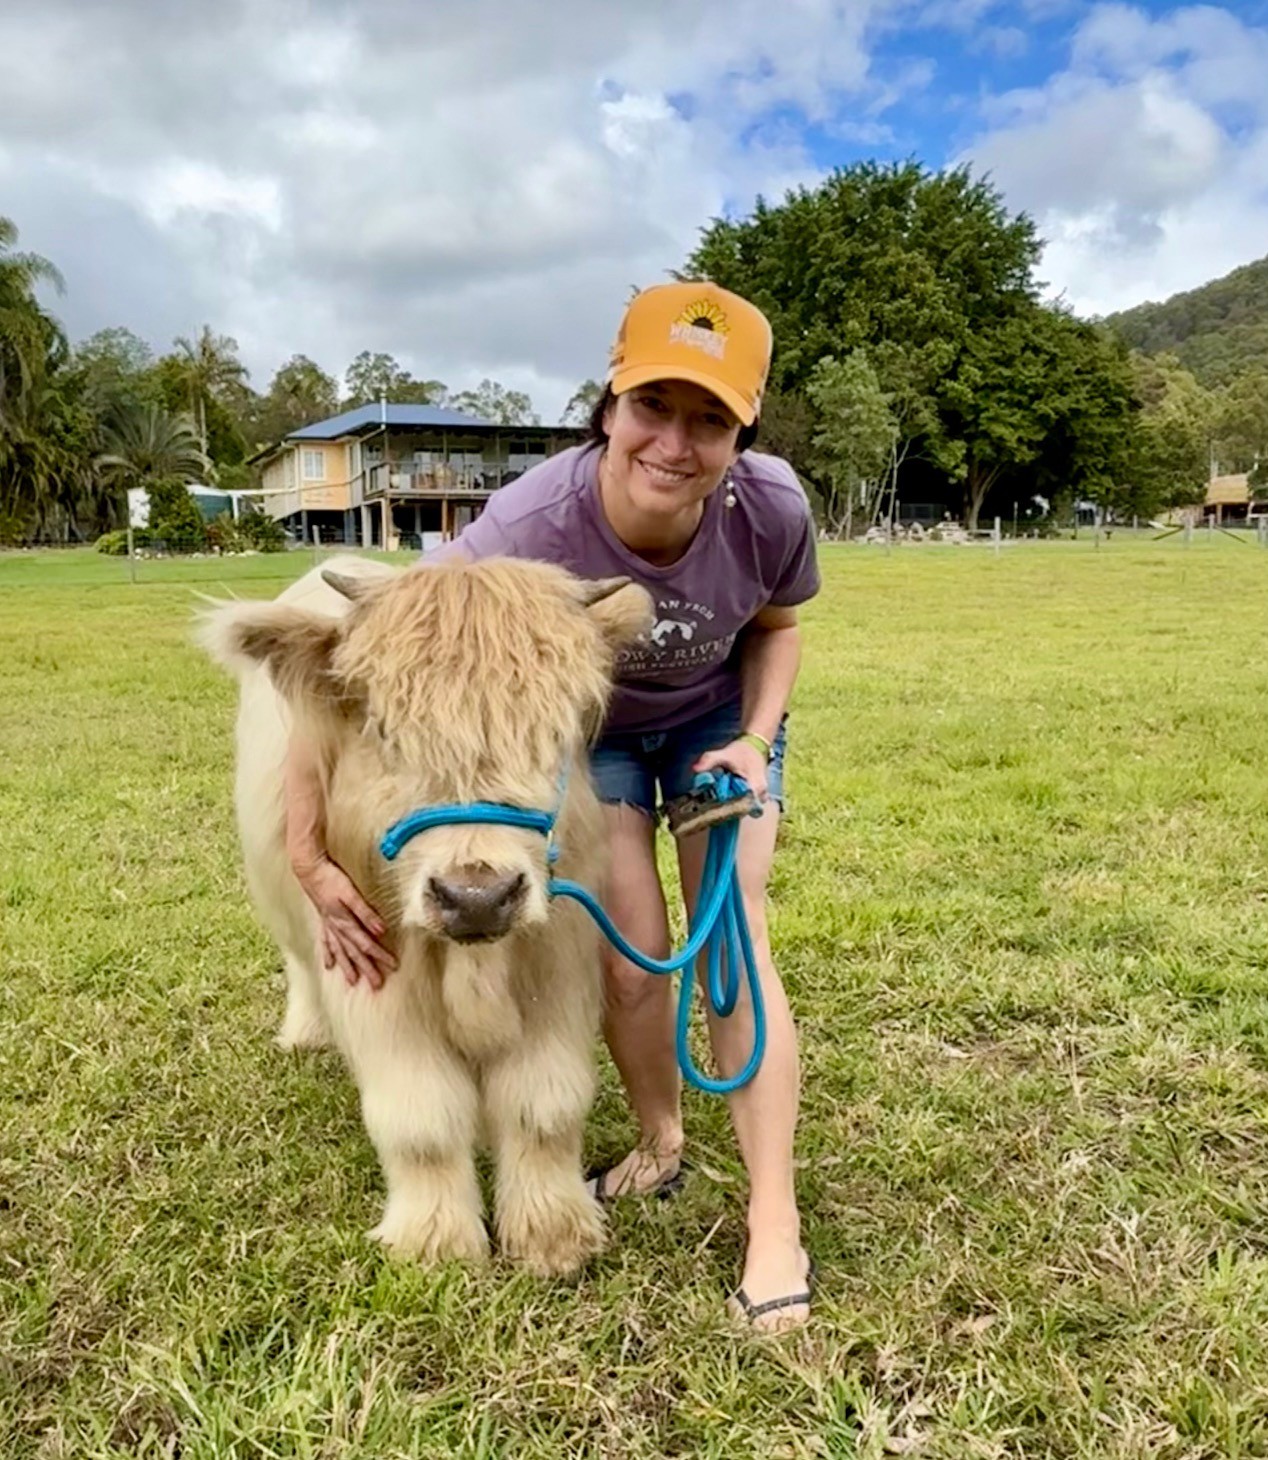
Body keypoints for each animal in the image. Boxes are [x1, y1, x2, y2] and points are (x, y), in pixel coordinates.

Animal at [199, 554, 653, 1277]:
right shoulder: (376, 979)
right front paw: (434, 1243)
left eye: (556, 730)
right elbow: (420, 1116)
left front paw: (552, 1232)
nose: (477, 896)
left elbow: (544, 1104)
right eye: (385, 731)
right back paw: (305, 1034)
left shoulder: (559, 963)